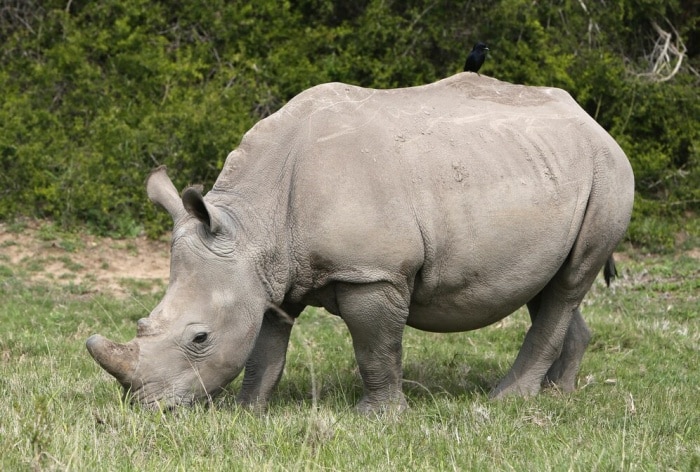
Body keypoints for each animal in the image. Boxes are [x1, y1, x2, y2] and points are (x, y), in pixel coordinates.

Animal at [86, 74, 636, 412]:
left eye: (200, 338)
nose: (148, 407)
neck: (254, 226)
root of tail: (593, 122)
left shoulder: (373, 273)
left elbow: (375, 345)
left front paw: (381, 417)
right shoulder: (269, 275)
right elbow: (266, 346)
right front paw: (250, 410)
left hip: (609, 172)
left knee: (567, 284)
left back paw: (507, 399)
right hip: (552, 170)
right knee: (550, 287)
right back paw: (558, 394)